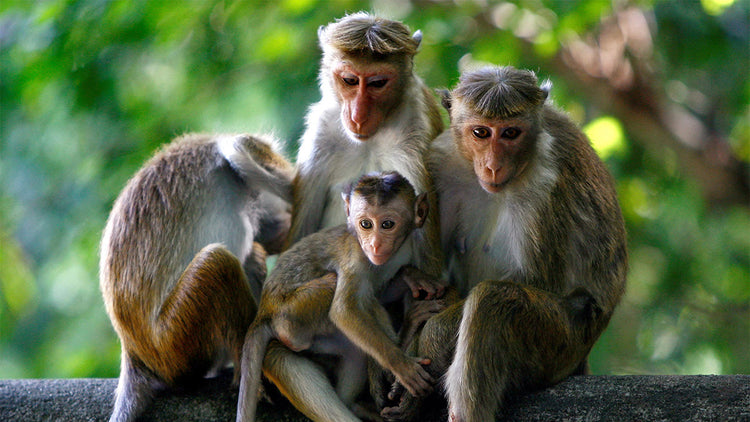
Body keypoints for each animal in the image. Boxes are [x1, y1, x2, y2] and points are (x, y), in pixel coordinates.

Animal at [237, 171, 445, 422]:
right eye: (366, 224)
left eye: (387, 224)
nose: (374, 244)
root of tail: (264, 309)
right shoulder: (355, 254)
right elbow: (345, 310)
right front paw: (401, 364)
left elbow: (379, 292)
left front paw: (411, 275)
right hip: (292, 311)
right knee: (336, 287)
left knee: (354, 349)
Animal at [381, 66, 628, 422]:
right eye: (481, 132)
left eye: (511, 133)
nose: (493, 165)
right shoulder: (441, 161)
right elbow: (433, 273)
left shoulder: (545, 180)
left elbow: (537, 280)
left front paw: (430, 341)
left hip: (563, 342)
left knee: (493, 302)